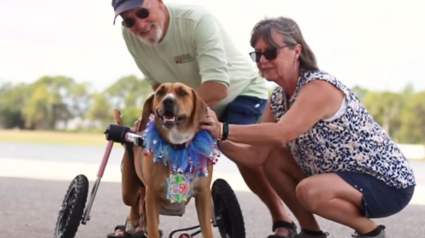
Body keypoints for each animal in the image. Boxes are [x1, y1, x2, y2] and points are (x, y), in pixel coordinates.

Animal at [111, 82, 217, 238]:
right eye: (160, 92)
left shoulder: (203, 194)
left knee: (141, 201)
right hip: (128, 190)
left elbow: (207, 230)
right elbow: (153, 228)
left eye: (182, 92)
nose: (168, 100)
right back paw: (132, 220)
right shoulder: (153, 194)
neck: (177, 145)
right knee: (135, 199)